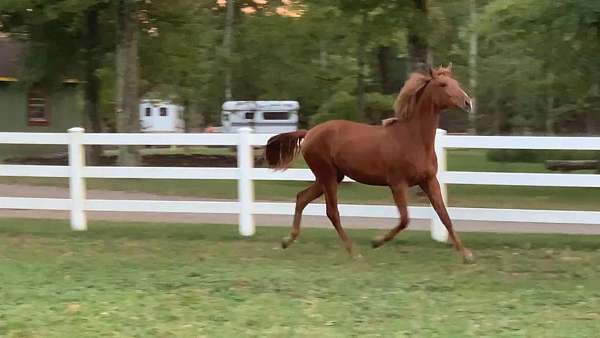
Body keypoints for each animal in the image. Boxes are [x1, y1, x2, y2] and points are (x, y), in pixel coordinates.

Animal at [264, 64, 476, 262]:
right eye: (442, 84)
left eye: (456, 82)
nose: (467, 102)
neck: (412, 139)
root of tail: (309, 133)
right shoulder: (397, 184)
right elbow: (405, 219)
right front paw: (376, 241)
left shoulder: (429, 181)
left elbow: (444, 216)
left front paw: (466, 254)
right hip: (327, 175)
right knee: (332, 212)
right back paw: (354, 252)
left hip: (330, 177)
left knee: (302, 198)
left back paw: (287, 240)